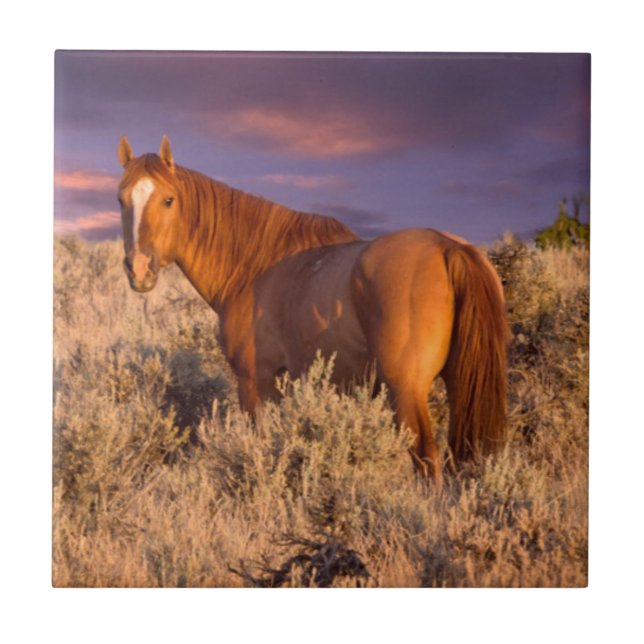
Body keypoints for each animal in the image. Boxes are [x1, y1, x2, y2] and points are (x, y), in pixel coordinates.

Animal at [117, 134, 509, 487]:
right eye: (121, 200)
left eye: (168, 200)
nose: (139, 270)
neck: (253, 267)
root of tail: (448, 248)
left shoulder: (255, 380)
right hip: (458, 383)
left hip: (406, 389)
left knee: (426, 458)